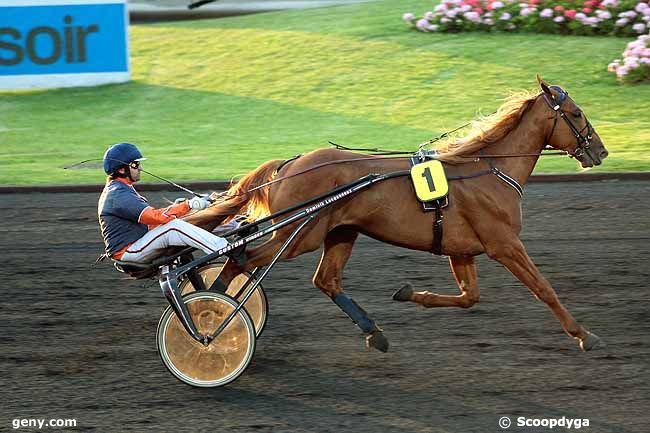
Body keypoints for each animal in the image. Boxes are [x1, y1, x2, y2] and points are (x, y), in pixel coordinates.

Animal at [186, 77, 608, 352]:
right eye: (575, 113)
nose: (600, 151)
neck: (488, 170)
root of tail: (289, 164)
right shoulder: (504, 243)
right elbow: (544, 288)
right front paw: (583, 334)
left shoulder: (462, 249)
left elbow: (468, 297)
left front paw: (409, 293)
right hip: (298, 236)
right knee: (241, 258)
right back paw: (211, 313)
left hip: (340, 232)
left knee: (324, 279)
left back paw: (373, 331)